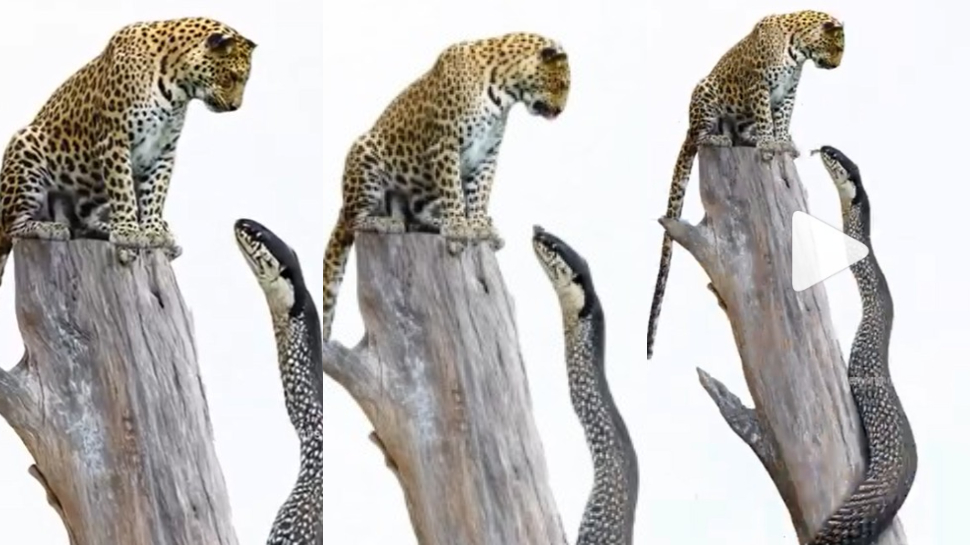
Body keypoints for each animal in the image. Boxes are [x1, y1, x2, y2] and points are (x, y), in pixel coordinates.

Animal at [0, 16, 256, 287]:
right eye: (231, 77)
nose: (235, 107)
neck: (177, 87)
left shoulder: (164, 150)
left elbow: (155, 193)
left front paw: (153, 231)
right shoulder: (115, 140)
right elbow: (123, 191)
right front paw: (129, 233)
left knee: (82, 222)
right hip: (24, 148)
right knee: (13, 226)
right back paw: (51, 229)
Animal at [319, 31, 570, 339]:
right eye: (562, 84)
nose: (560, 111)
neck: (504, 92)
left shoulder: (487, 155)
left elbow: (479, 194)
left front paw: (480, 227)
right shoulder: (445, 146)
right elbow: (454, 191)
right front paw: (459, 228)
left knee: (415, 215)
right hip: (364, 154)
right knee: (356, 219)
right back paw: (387, 222)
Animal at [645, 10, 845, 360]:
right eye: (836, 47)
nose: (836, 65)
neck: (798, 50)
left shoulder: (788, 93)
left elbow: (782, 119)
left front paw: (782, 143)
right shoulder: (759, 86)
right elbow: (766, 118)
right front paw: (768, 144)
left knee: (738, 133)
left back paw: (746, 138)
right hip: (705, 96)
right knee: (701, 138)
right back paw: (720, 138)